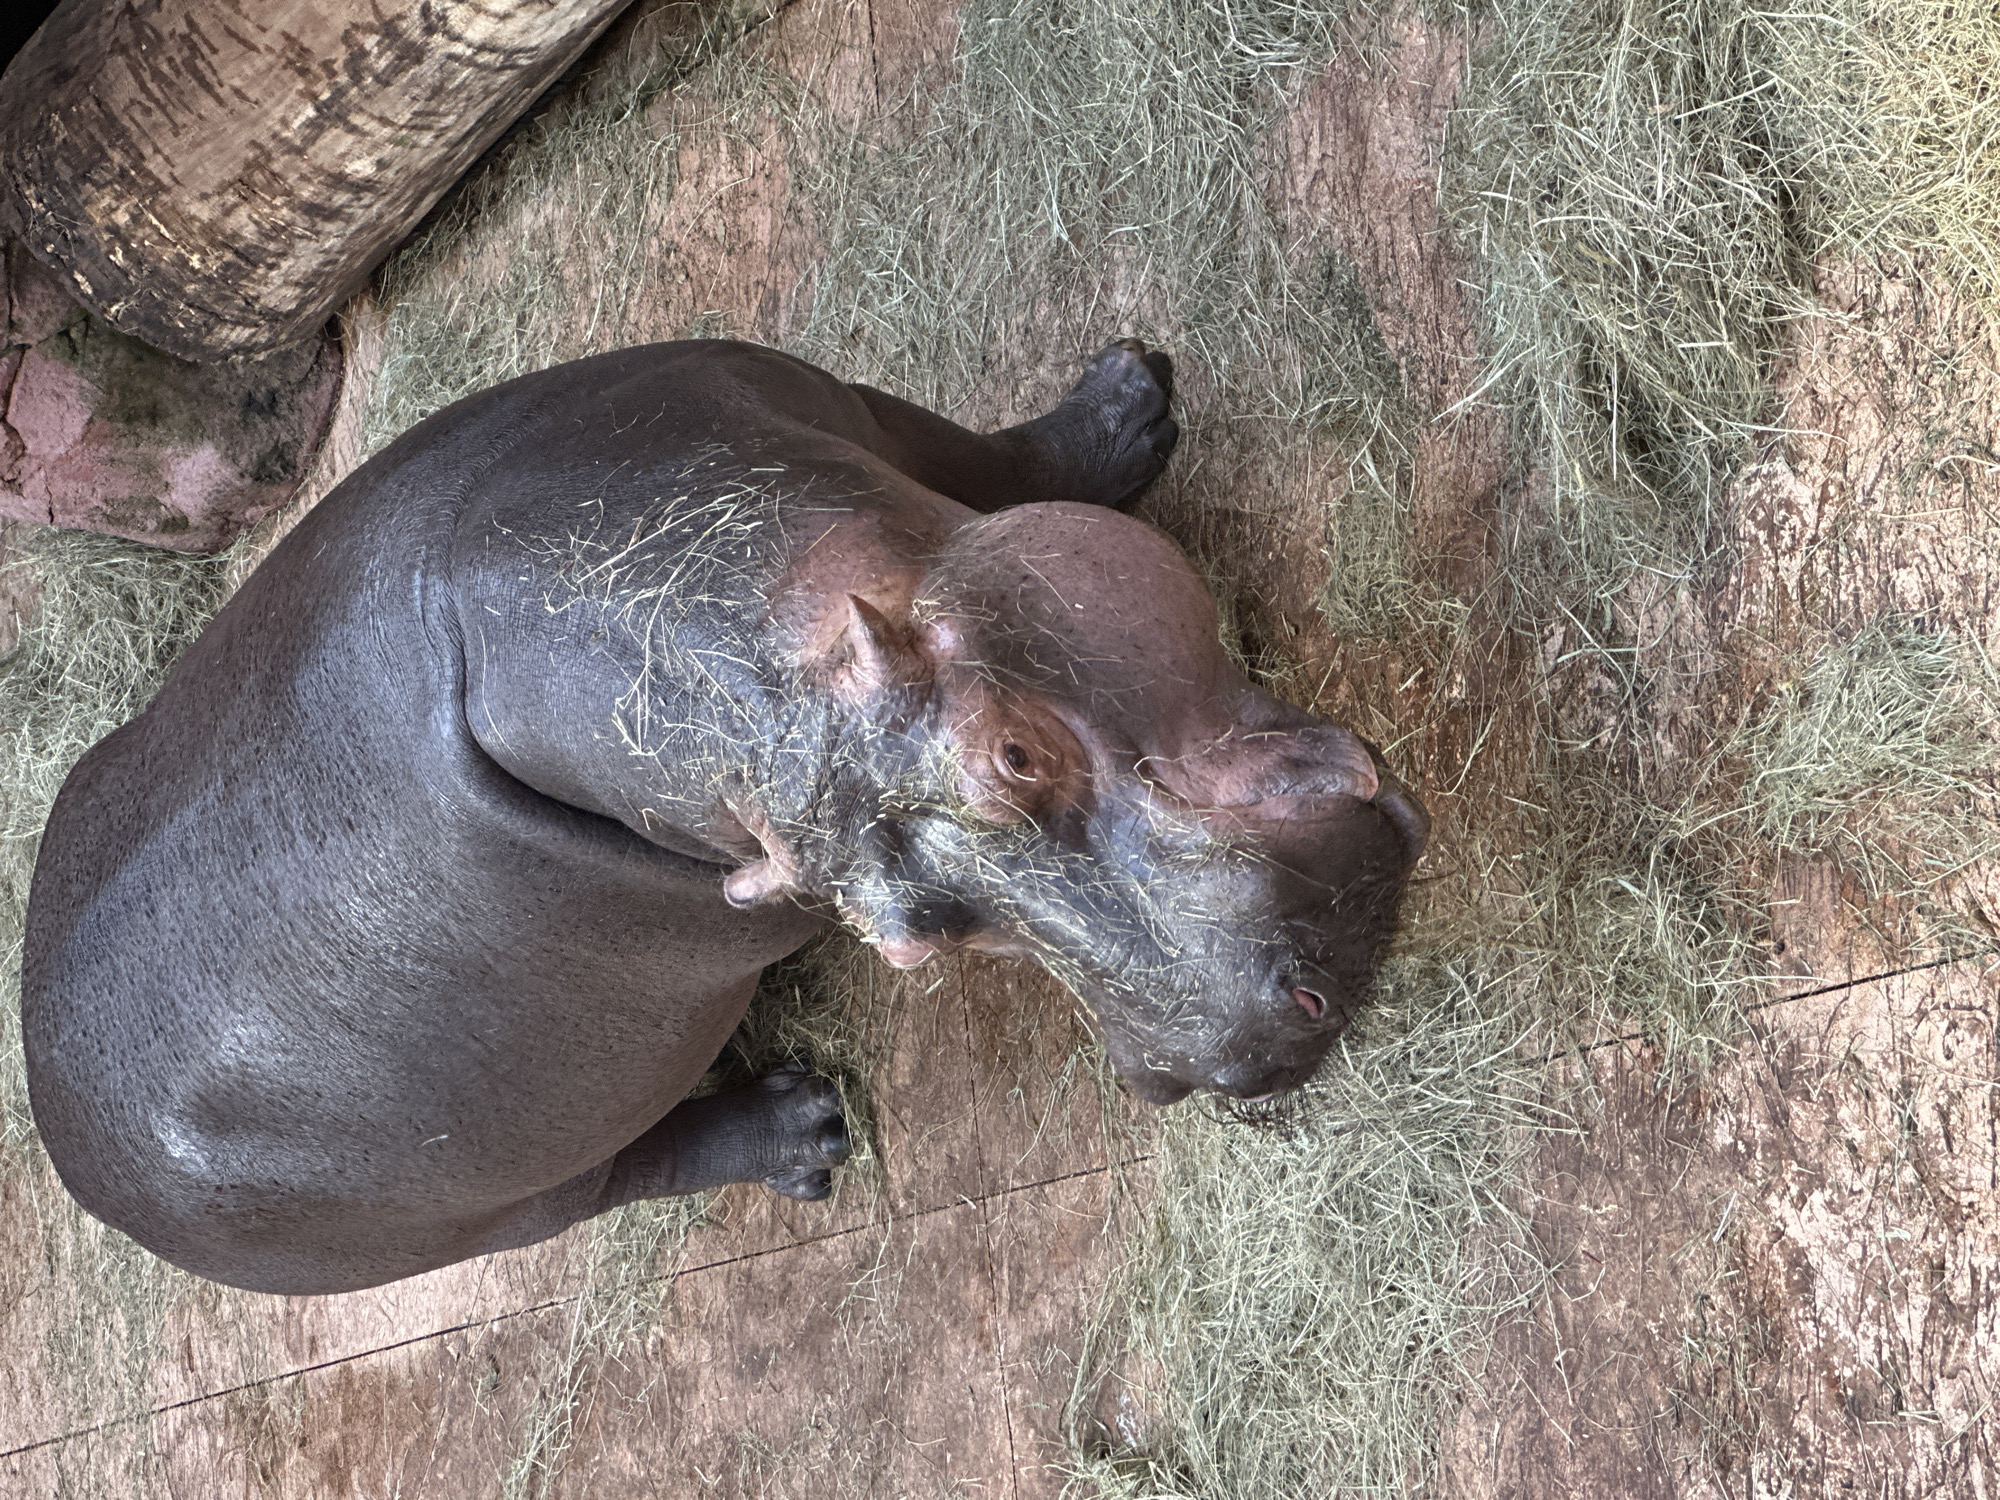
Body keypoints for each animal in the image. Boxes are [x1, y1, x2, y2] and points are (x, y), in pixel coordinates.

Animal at [22, 338, 1428, 1295]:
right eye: (1012, 754)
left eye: (916, 936)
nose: (1219, 1060)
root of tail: (64, 1136)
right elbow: (990, 462)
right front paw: (1130, 407)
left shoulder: (825, 408)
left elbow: (979, 460)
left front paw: (1128, 408)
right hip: (490, 1204)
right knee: (613, 1182)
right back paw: (798, 1131)